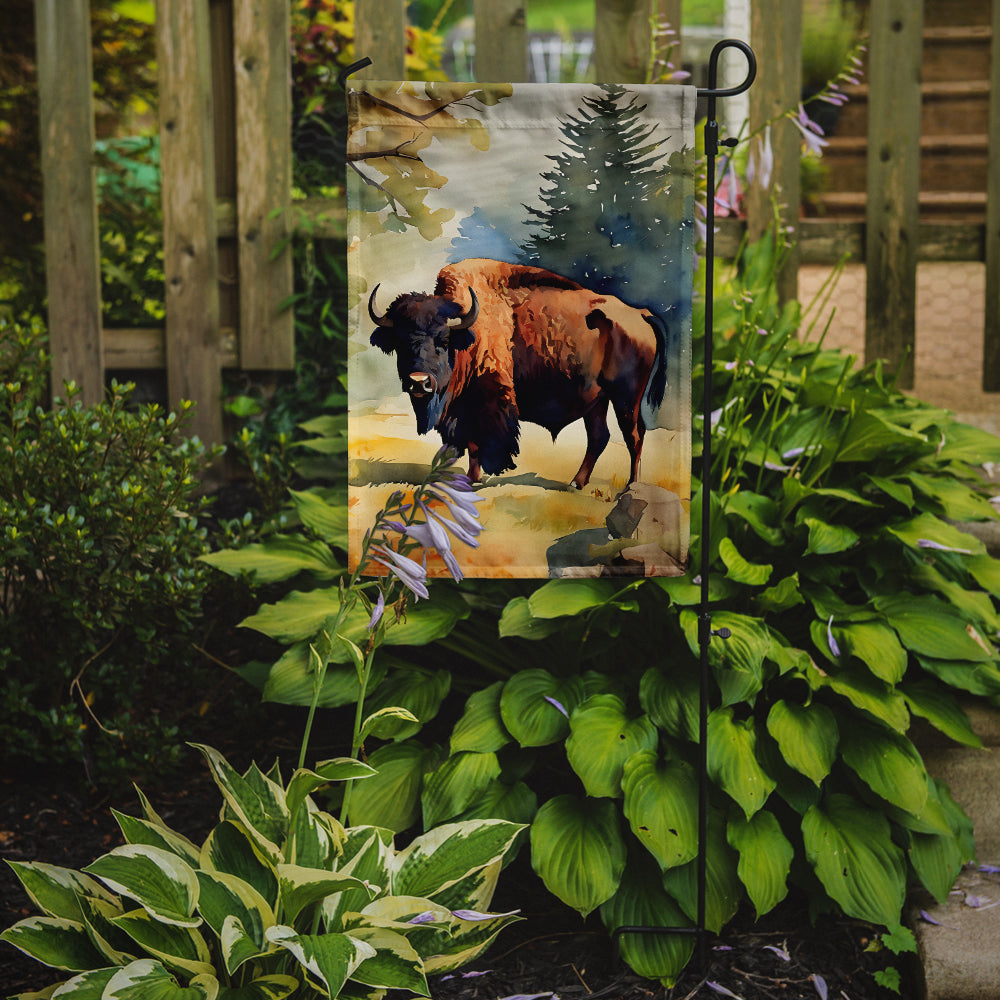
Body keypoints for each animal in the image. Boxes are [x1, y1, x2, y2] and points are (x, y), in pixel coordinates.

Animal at [368, 258, 668, 489]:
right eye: (400, 342)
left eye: (443, 340)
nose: (419, 383)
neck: (467, 337)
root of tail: (641, 314)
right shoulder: (463, 409)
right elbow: (471, 443)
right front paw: (472, 477)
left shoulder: (488, 400)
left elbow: (485, 440)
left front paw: (480, 476)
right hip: (598, 401)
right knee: (599, 437)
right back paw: (576, 483)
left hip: (626, 399)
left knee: (634, 436)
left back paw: (630, 486)